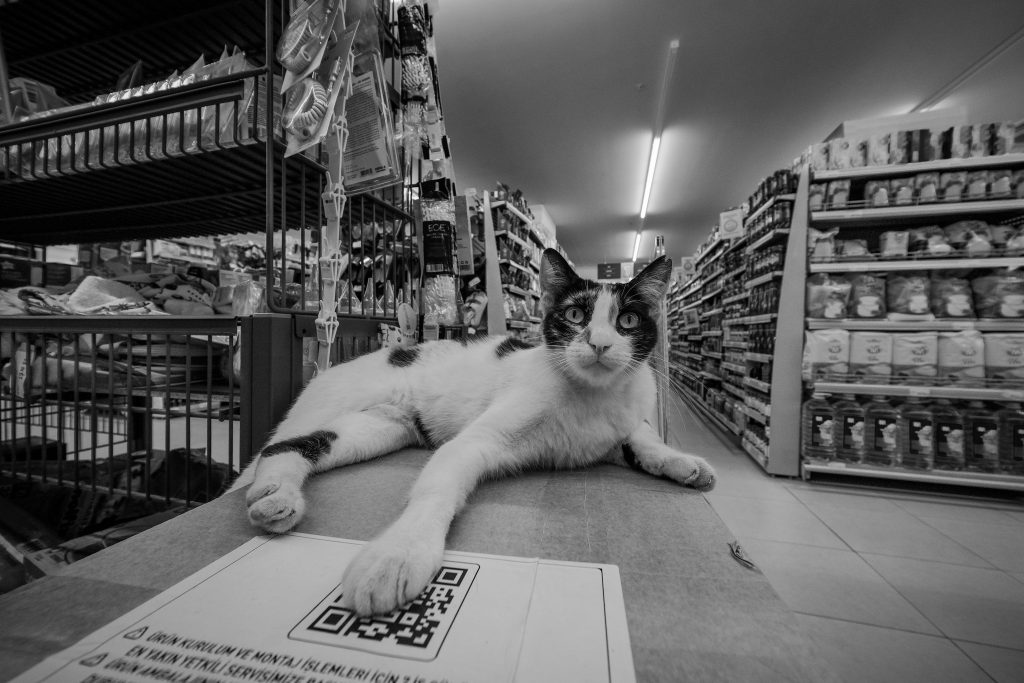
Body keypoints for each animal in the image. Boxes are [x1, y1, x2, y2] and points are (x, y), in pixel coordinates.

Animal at [232, 248, 716, 618]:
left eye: (628, 322)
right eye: (576, 314)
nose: (599, 344)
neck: (593, 397)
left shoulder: (622, 420)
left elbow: (642, 436)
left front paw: (682, 463)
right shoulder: (477, 439)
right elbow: (439, 485)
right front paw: (398, 553)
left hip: (380, 428)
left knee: (294, 445)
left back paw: (276, 495)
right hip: (336, 403)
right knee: (271, 446)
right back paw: (273, 492)